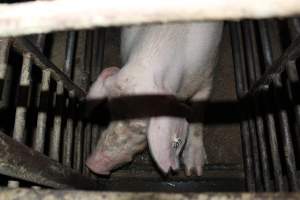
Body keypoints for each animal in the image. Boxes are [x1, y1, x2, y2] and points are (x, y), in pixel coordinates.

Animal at [84, 21, 223, 175]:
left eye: (141, 129)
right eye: (111, 113)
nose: (92, 165)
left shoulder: (207, 75)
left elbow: (198, 117)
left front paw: (194, 171)